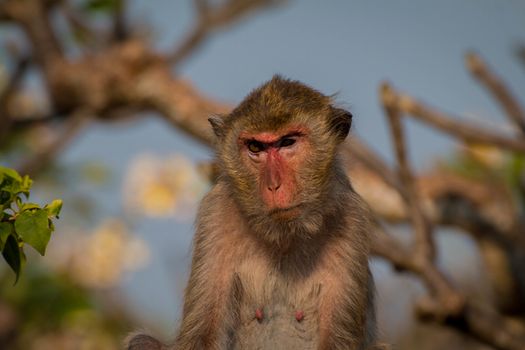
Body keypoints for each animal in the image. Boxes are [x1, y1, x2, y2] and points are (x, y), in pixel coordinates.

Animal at [126, 75, 376, 348]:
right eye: (255, 147)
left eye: (287, 142)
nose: (273, 185)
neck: (284, 237)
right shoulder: (217, 212)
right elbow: (202, 335)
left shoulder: (351, 220)